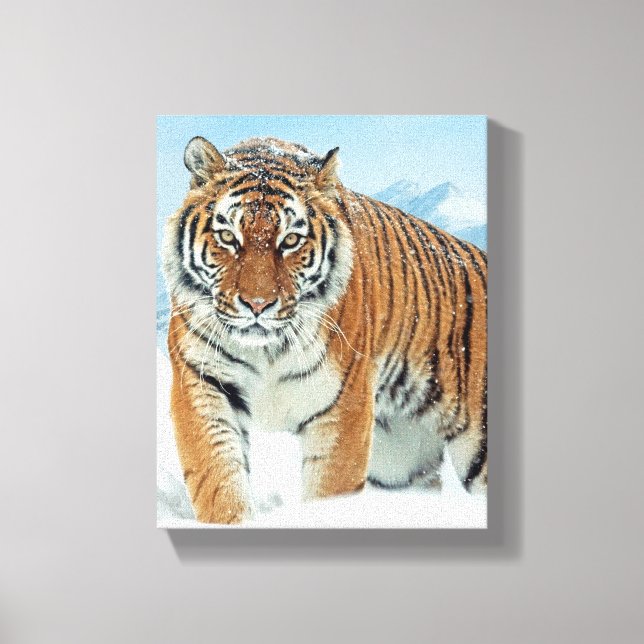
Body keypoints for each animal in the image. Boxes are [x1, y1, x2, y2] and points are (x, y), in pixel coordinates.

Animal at [162, 135, 487, 524]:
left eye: (290, 241)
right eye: (228, 236)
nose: (257, 305)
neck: (267, 350)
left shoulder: (341, 407)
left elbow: (330, 490)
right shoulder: (202, 384)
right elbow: (219, 481)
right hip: (402, 461)